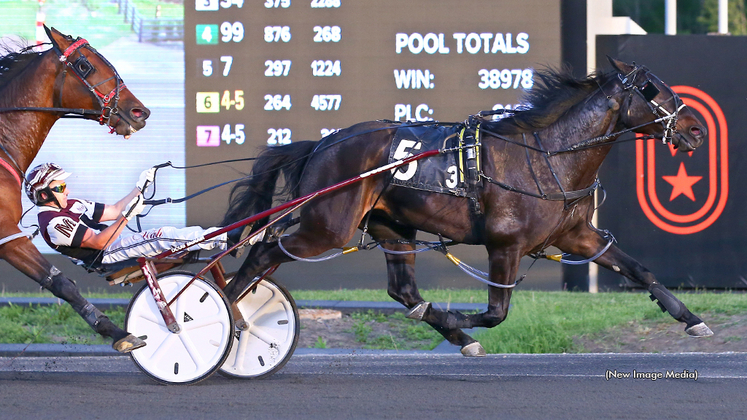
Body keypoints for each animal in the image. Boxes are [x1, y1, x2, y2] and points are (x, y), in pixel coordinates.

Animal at [224, 58, 712, 354]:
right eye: (650, 89)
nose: (695, 128)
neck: (548, 155)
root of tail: (323, 143)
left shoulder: (578, 235)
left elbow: (639, 270)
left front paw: (692, 319)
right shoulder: (505, 245)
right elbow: (496, 313)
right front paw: (457, 314)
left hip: (392, 228)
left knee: (403, 291)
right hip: (327, 226)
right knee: (264, 252)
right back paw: (225, 312)